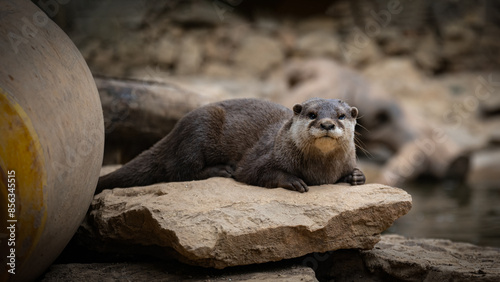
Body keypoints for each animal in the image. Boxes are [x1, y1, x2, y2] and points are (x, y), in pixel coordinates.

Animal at [95, 98, 366, 194]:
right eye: (312, 114)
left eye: (341, 115)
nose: (327, 124)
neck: (320, 172)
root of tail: (173, 132)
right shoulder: (260, 157)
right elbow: (252, 172)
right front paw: (293, 180)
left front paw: (356, 176)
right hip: (197, 132)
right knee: (180, 170)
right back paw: (221, 170)